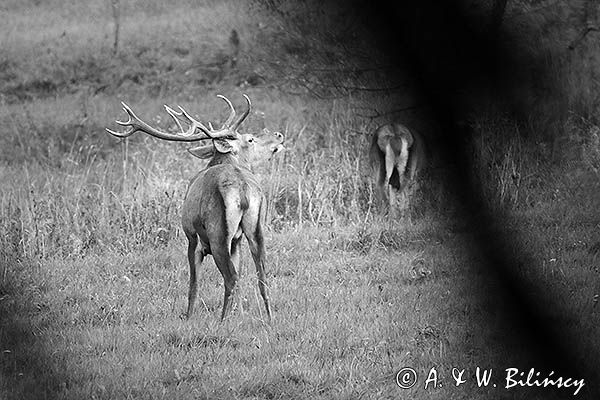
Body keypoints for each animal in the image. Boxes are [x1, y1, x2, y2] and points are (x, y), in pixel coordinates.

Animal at [106, 94, 284, 322]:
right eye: (250, 139)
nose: (279, 135)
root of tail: (242, 187)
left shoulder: (191, 236)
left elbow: (193, 284)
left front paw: (188, 317)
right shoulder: (237, 241)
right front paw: (239, 315)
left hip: (218, 233)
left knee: (231, 277)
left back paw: (222, 322)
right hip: (256, 228)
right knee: (261, 276)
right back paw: (268, 319)